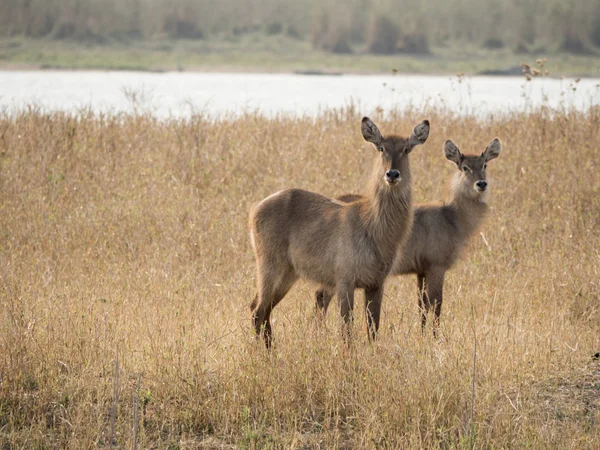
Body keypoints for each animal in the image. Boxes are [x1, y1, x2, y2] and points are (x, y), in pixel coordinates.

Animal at [248, 117, 432, 348]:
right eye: (381, 148)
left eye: (407, 149)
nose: (392, 174)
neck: (372, 226)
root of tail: (256, 207)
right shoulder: (345, 282)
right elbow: (347, 330)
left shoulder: (376, 284)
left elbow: (373, 328)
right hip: (270, 266)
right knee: (258, 310)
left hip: (288, 273)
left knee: (262, 310)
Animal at [316, 137, 504, 334]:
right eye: (465, 167)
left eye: (484, 165)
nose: (481, 184)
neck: (452, 217)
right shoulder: (436, 266)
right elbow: (436, 303)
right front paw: (435, 336)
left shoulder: (421, 270)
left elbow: (422, 305)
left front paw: (422, 334)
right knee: (322, 296)